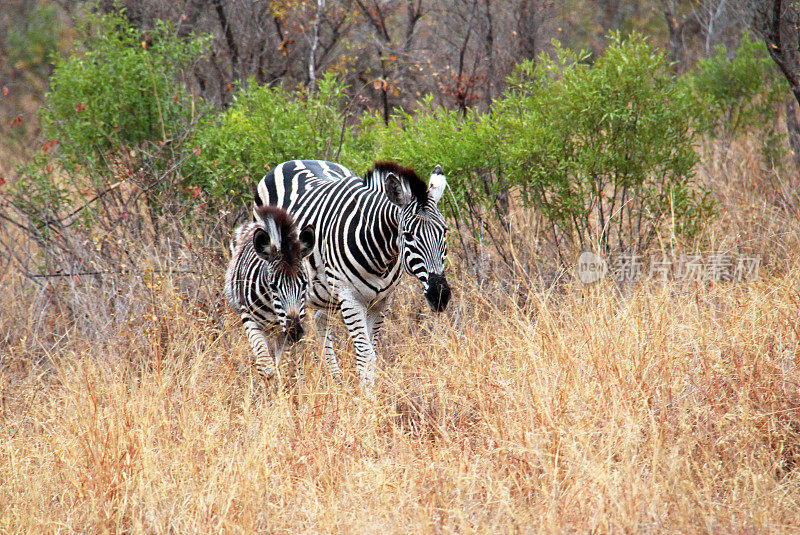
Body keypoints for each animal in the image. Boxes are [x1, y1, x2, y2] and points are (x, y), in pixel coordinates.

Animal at [255, 159, 450, 390]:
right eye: (408, 235)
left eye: (445, 231)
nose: (440, 295)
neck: (381, 258)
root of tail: (294, 160)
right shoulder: (350, 297)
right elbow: (366, 354)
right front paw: (367, 398)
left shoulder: (383, 301)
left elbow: (372, 350)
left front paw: (368, 391)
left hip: (324, 293)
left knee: (321, 325)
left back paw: (336, 381)